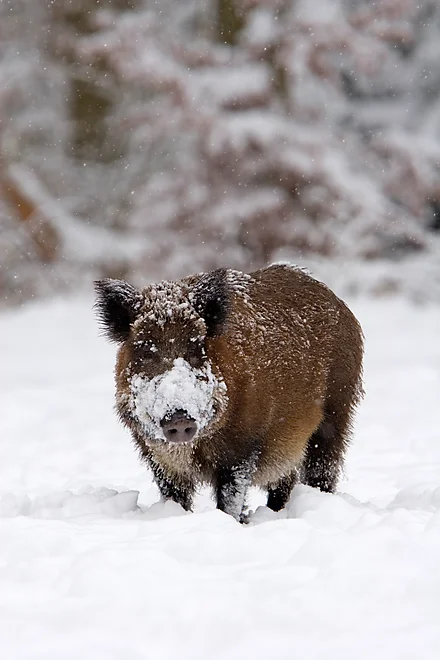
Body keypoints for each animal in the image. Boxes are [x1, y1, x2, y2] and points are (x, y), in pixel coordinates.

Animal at [95, 265, 364, 521]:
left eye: (197, 346)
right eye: (145, 350)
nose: (179, 418)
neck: (195, 447)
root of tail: (340, 305)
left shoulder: (242, 449)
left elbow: (230, 498)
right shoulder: (158, 457)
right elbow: (175, 497)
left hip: (336, 414)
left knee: (321, 472)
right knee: (284, 482)